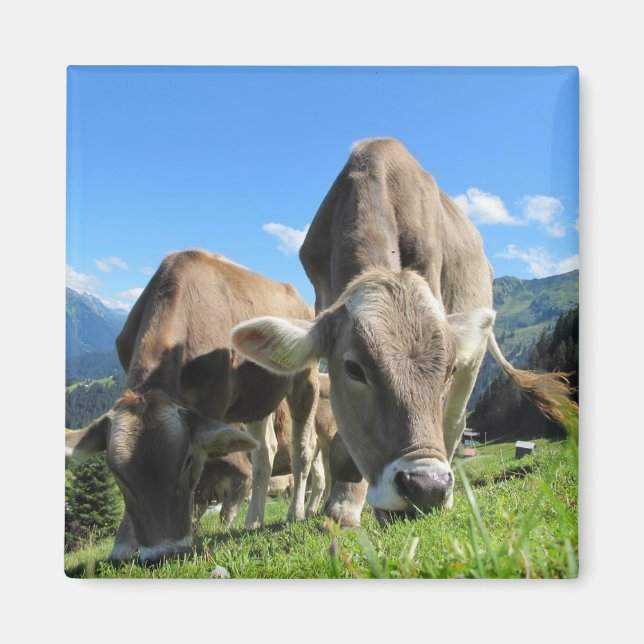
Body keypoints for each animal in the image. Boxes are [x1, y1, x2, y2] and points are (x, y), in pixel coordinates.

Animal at [65, 250, 319, 562]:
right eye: (116, 474)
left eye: (186, 461)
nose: (163, 553)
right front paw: (123, 545)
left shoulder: (213, 403)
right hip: (257, 397)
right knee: (265, 452)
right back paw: (254, 520)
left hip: (305, 380)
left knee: (302, 448)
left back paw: (296, 513)